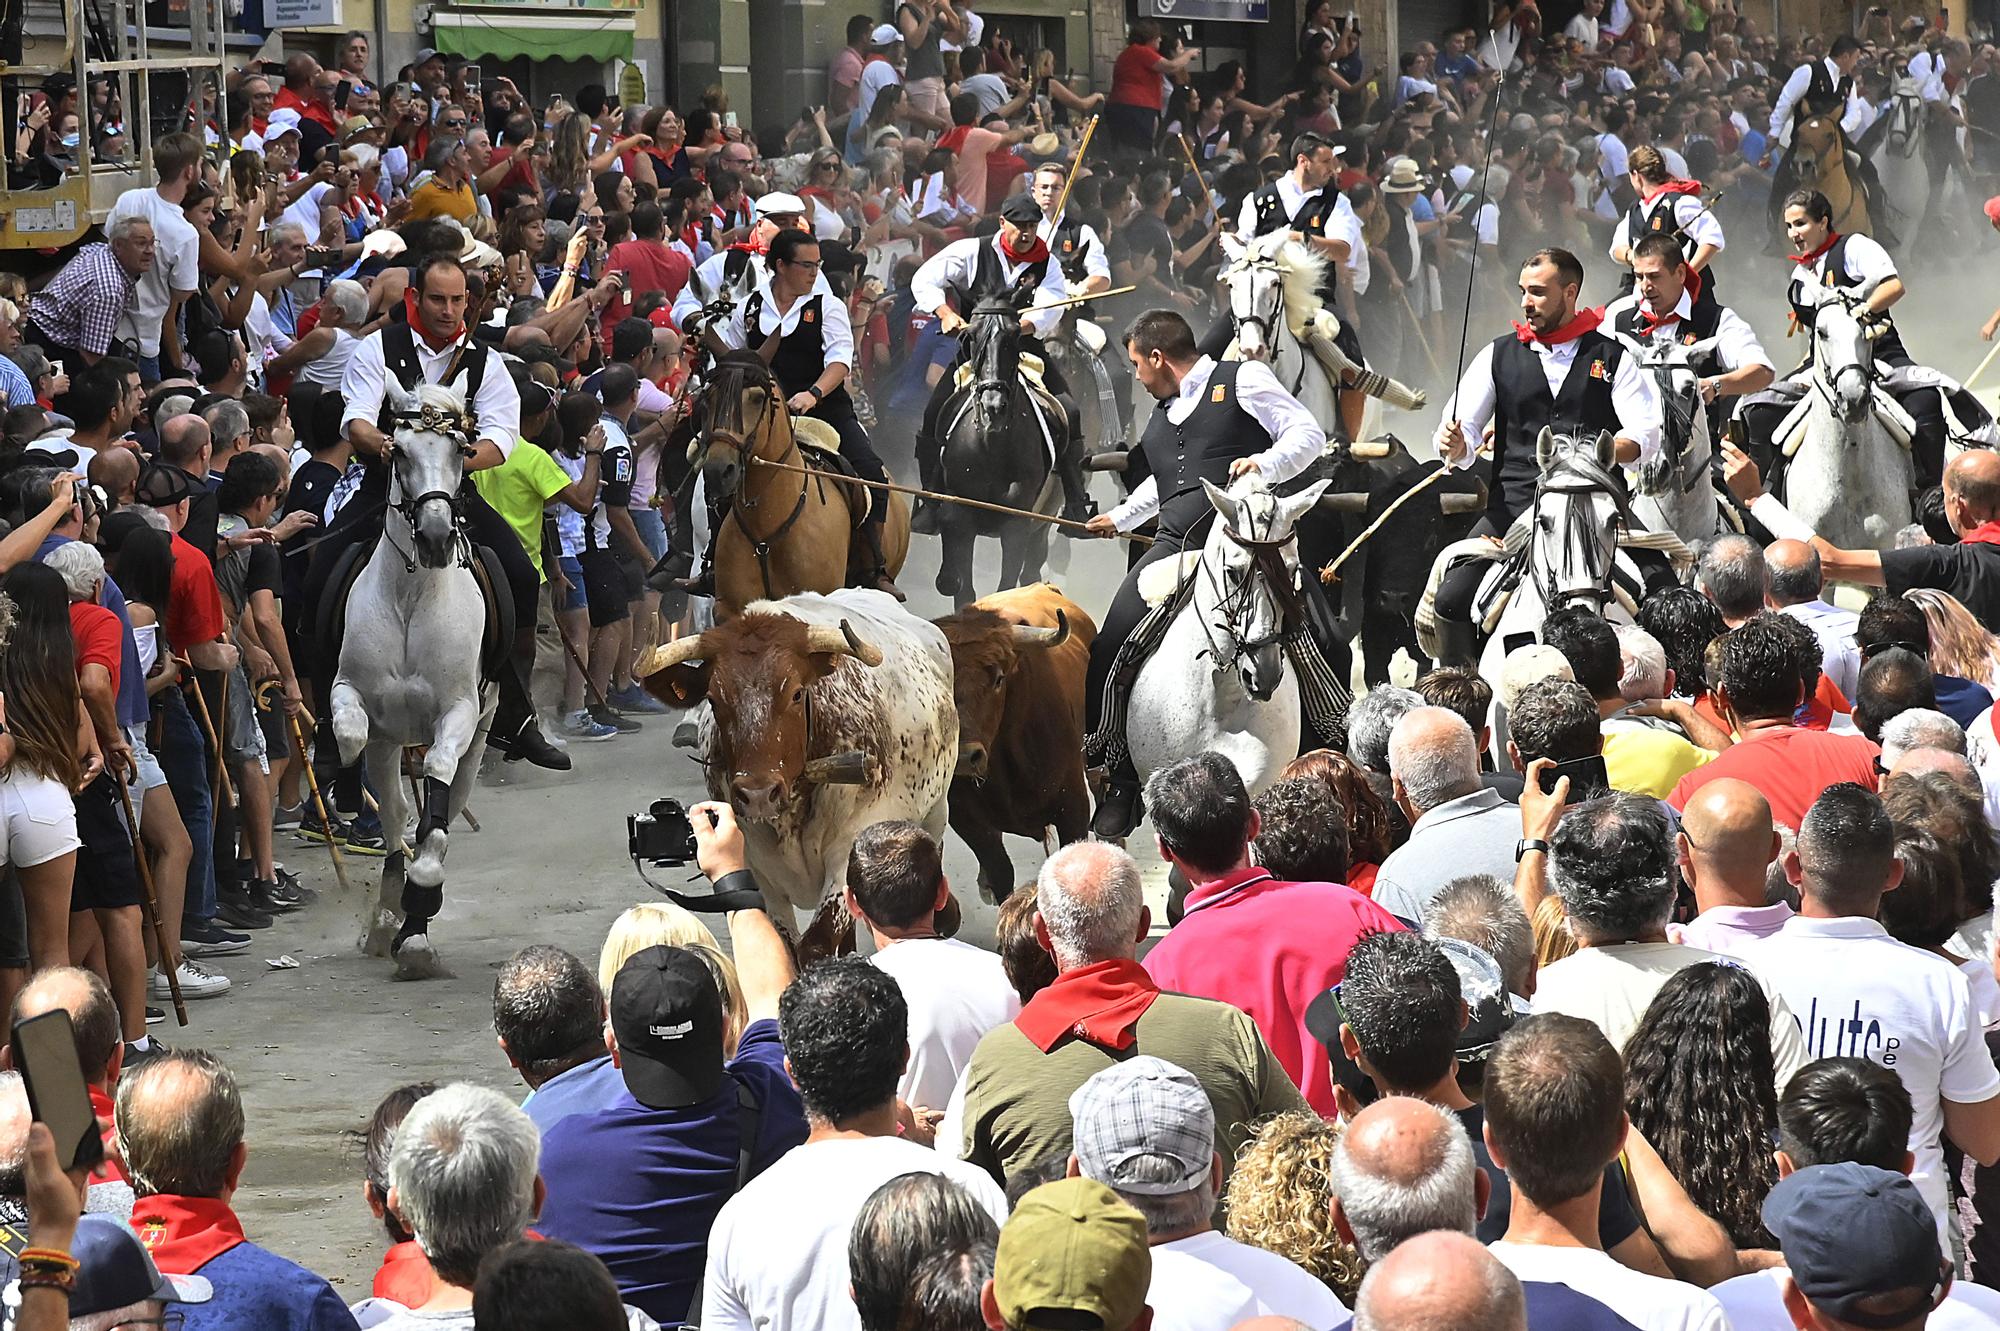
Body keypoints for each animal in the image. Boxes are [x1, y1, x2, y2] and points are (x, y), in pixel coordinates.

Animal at [330, 377, 494, 979]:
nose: (435, 537)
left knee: (448, 793)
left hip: (482, 732)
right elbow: (352, 736)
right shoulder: (350, 693)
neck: (411, 594)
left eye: (462, 451)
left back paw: (414, 919)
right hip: (392, 737)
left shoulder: (460, 712)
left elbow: (438, 787)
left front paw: (421, 901)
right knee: (397, 802)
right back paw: (389, 910)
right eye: (398, 452)